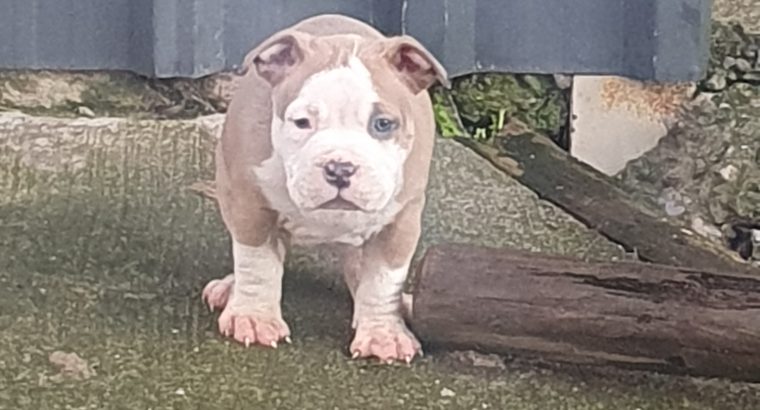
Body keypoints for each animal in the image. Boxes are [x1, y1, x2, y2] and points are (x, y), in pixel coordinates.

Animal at [203, 14, 452, 364]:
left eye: (383, 124)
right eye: (302, 122)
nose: (339, 168)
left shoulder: (401, 219)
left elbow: (383, 279)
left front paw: (383, 334)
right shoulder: (250, 203)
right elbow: (257, 264)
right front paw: (253, 317)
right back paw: (229, 288)